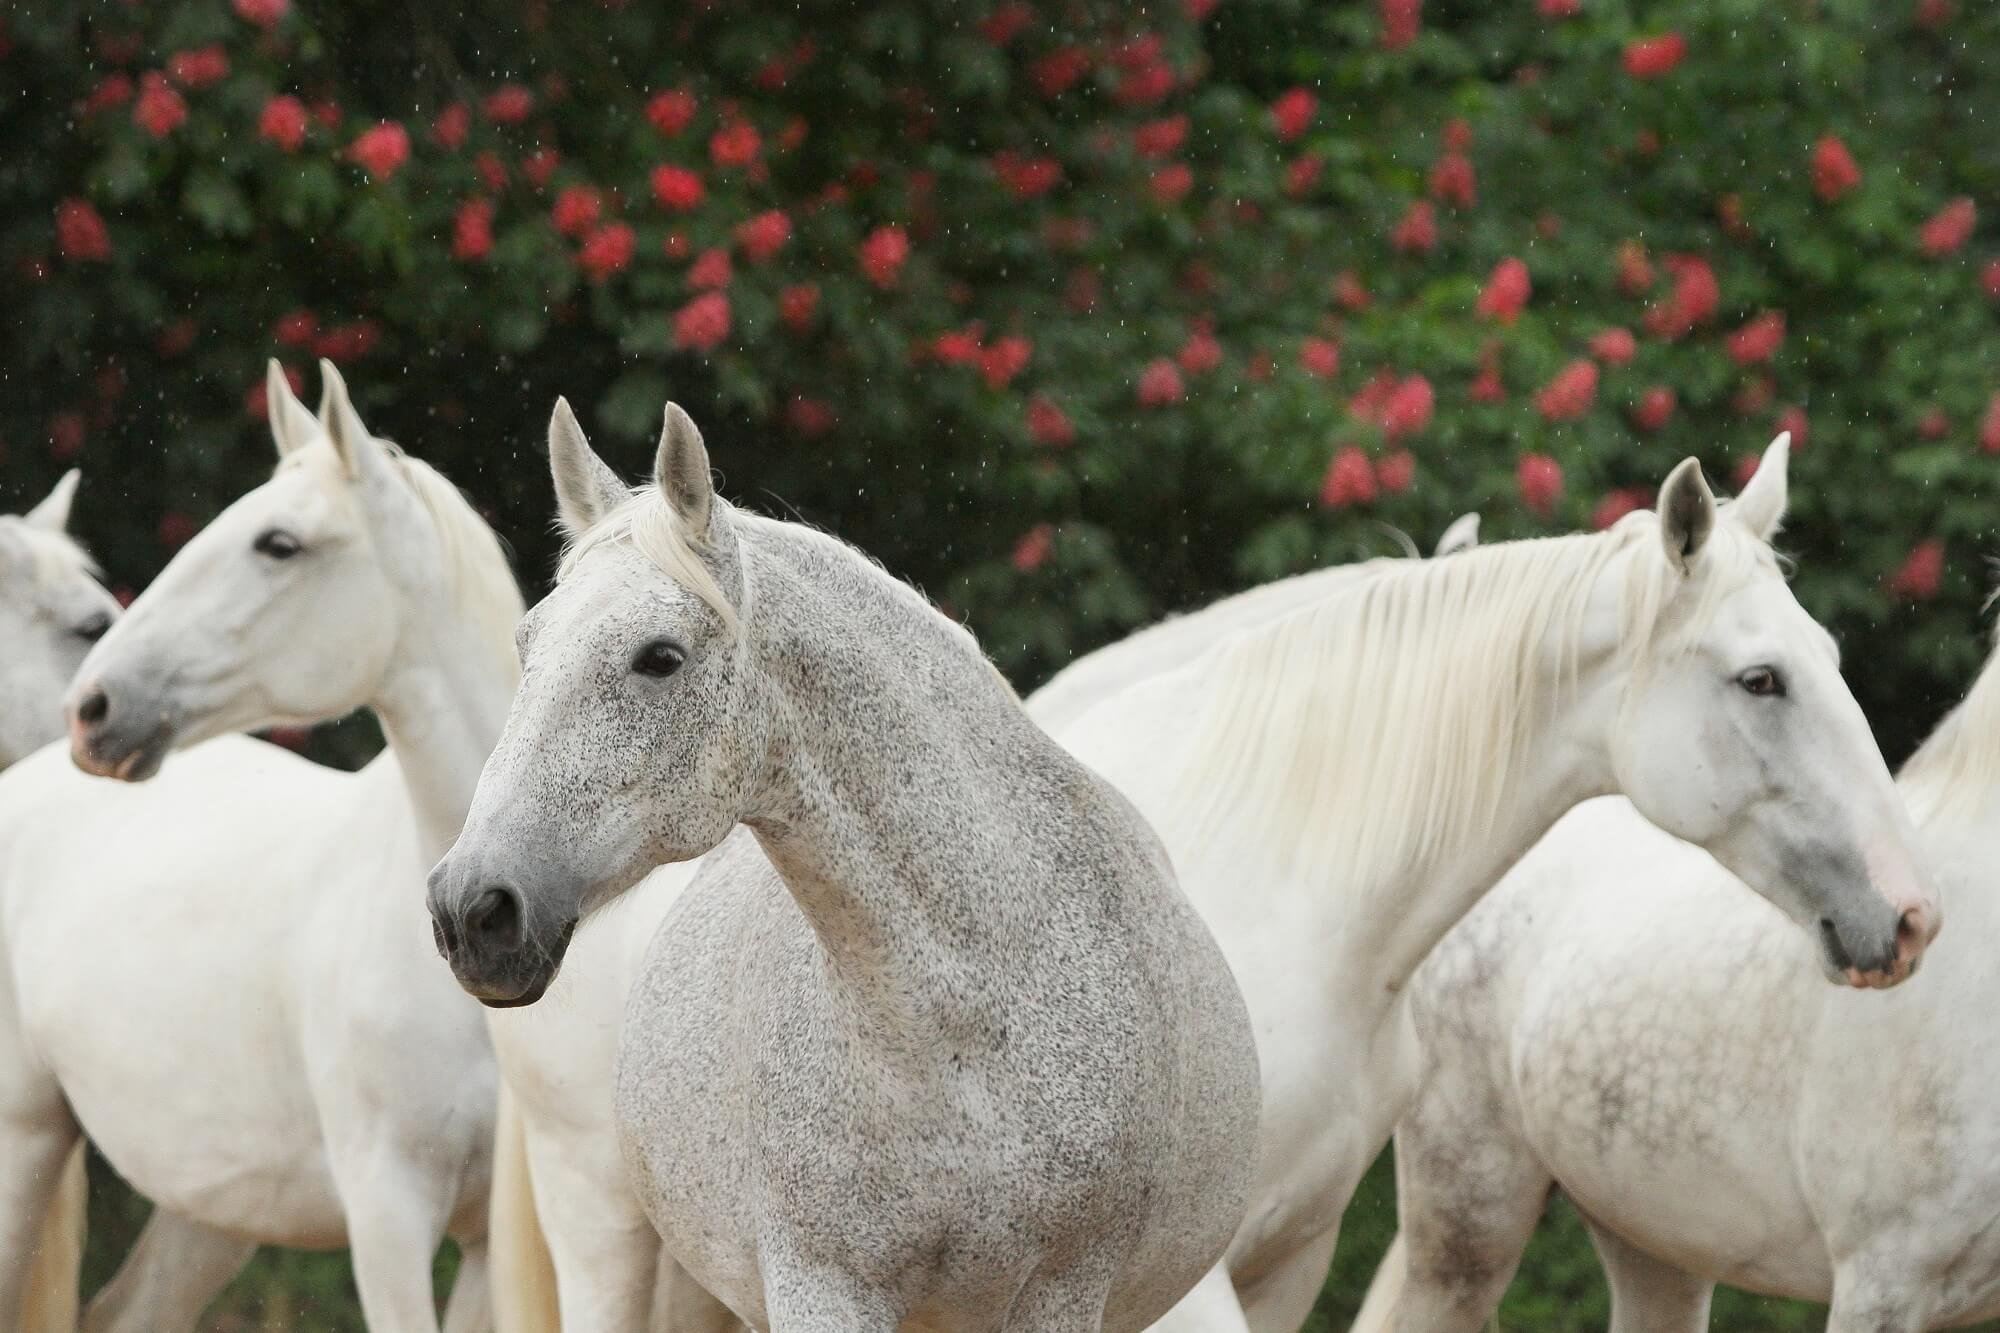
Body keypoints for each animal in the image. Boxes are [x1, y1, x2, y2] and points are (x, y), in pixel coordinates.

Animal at [1, 364, 516, 1328]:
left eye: (279, 543)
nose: (94, 708)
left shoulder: (495, 1236)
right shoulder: (388, 1214)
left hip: (209, 1205)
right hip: (25, 1148)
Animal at [434, 404, 1264, 1328]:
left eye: (661, 656)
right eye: (527, 646)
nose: (470, 908)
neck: (953, 1026)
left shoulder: (1064, 1287)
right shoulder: (821, 1284)